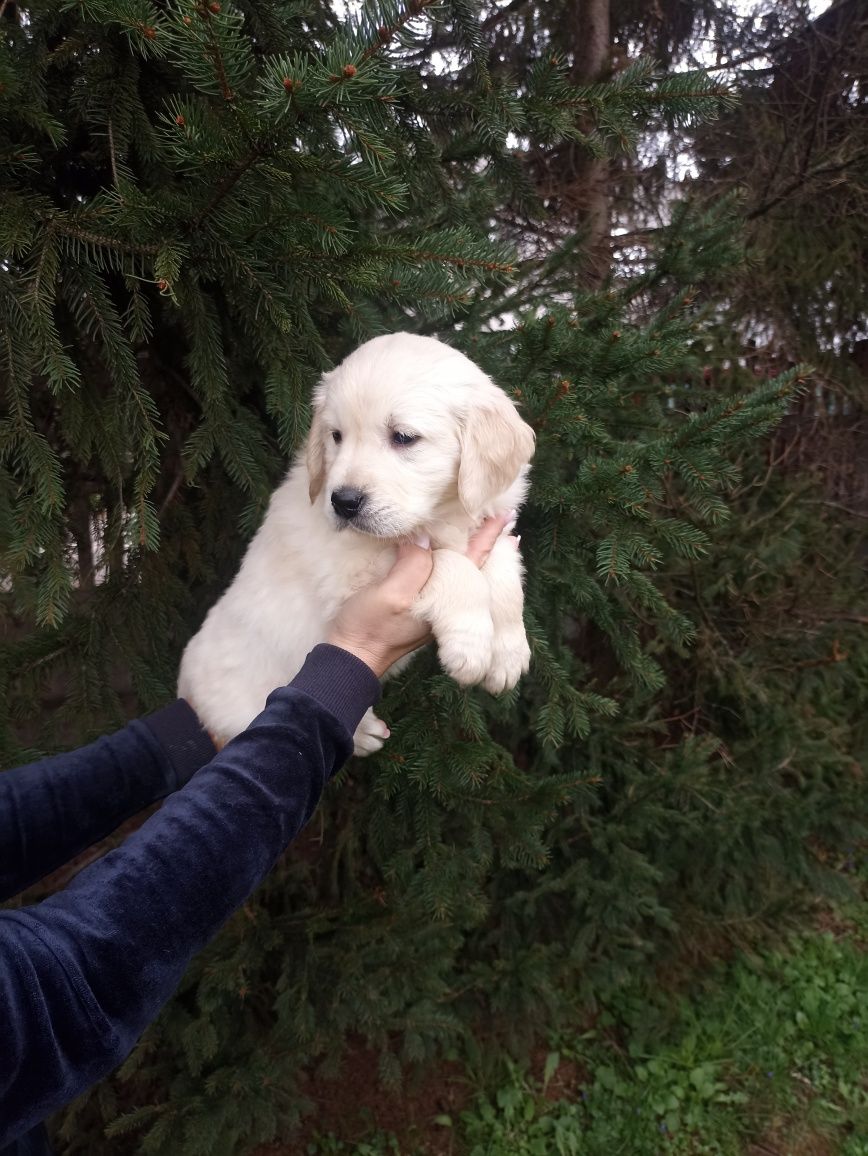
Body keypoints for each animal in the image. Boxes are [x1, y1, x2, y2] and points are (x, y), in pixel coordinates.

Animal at [177, 330, 536, 753]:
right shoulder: (354, 575)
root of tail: (186, 694)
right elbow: (449, 564)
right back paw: (361, 731)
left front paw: (509, 652)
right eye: (336, 436)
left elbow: (504, 571)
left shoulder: (491, 524)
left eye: (403, 437)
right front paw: (472, 644)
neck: (439, 516)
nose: (343, 502)